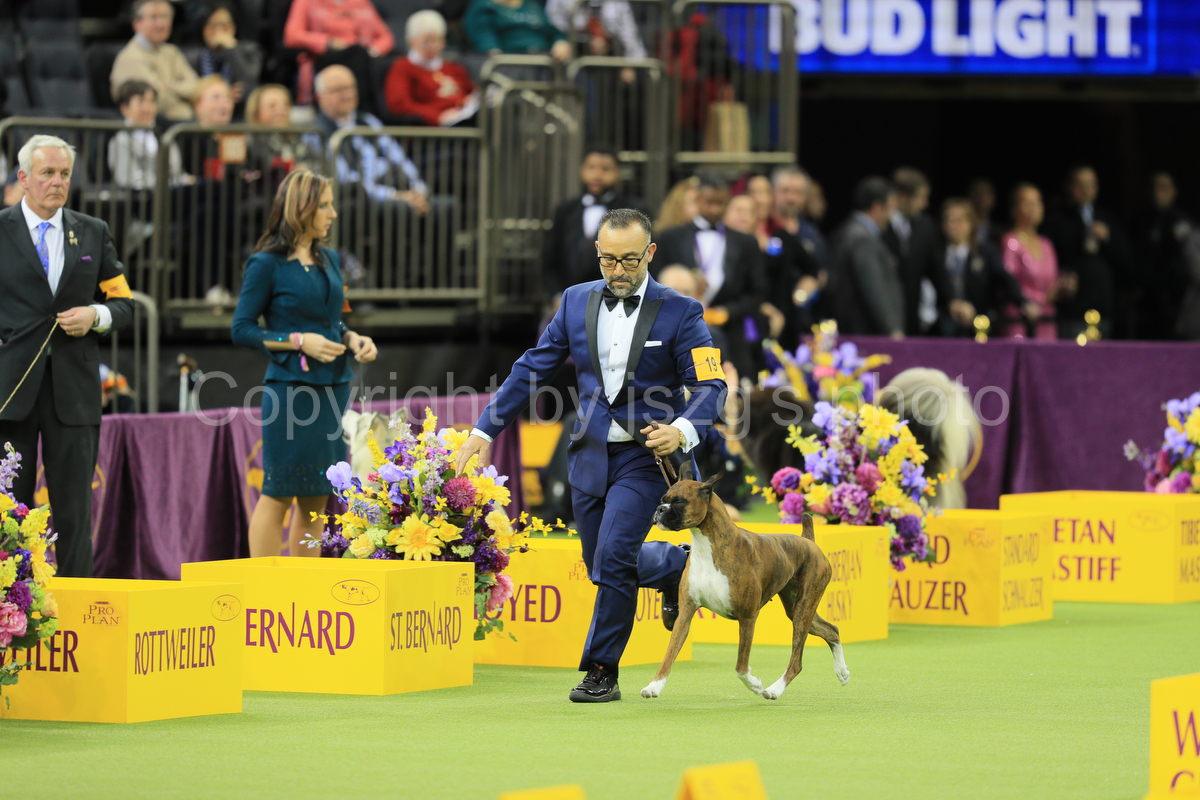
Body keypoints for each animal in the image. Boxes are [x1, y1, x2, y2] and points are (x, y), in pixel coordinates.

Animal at [642, 465, 850, 701]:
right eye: (663, 499)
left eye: (679, 502)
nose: (659, 509)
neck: (709, 546)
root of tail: (809, 542)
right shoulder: (685, 614)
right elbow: (669, 654)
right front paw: (654, 686)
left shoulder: (748, 617)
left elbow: (741, 666)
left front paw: (755, 685)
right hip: (798, 609)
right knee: (831, 630)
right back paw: (842, 672)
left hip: (803, 610)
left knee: (797, 660)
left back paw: (774, 690)